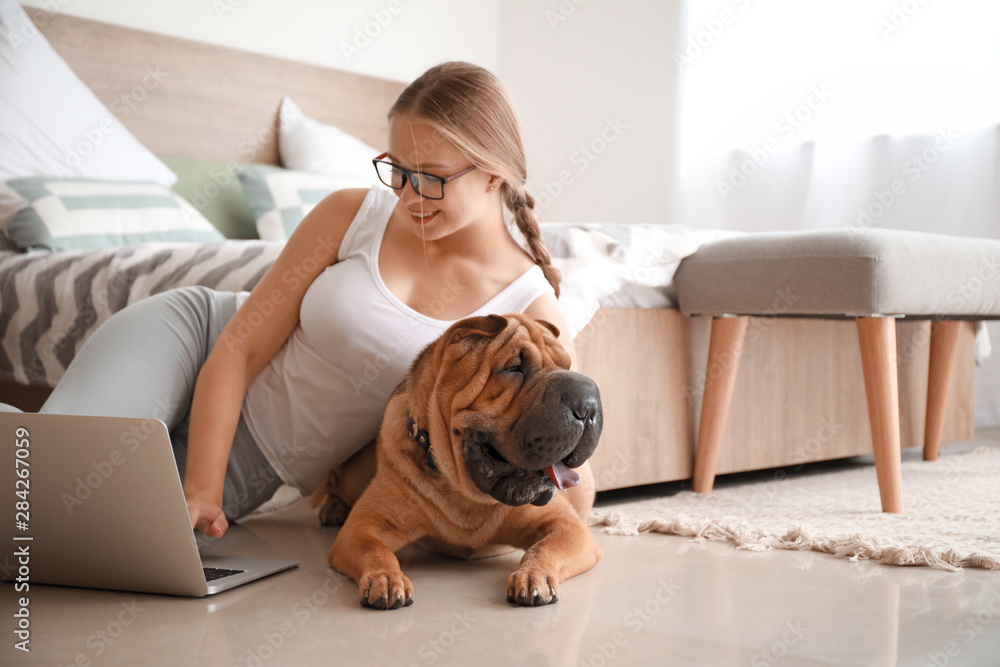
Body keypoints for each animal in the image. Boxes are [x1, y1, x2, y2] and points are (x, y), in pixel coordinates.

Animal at [314, 314, 600, 612]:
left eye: (566, 365)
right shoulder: (362, 527)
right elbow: (376, 550)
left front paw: (534, 576)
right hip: (353, 476)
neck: (466, 495)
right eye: (513, 368)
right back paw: (333, 508)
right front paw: (385, 578)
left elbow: (542, 547)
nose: (588, 403)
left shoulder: (568, 527)